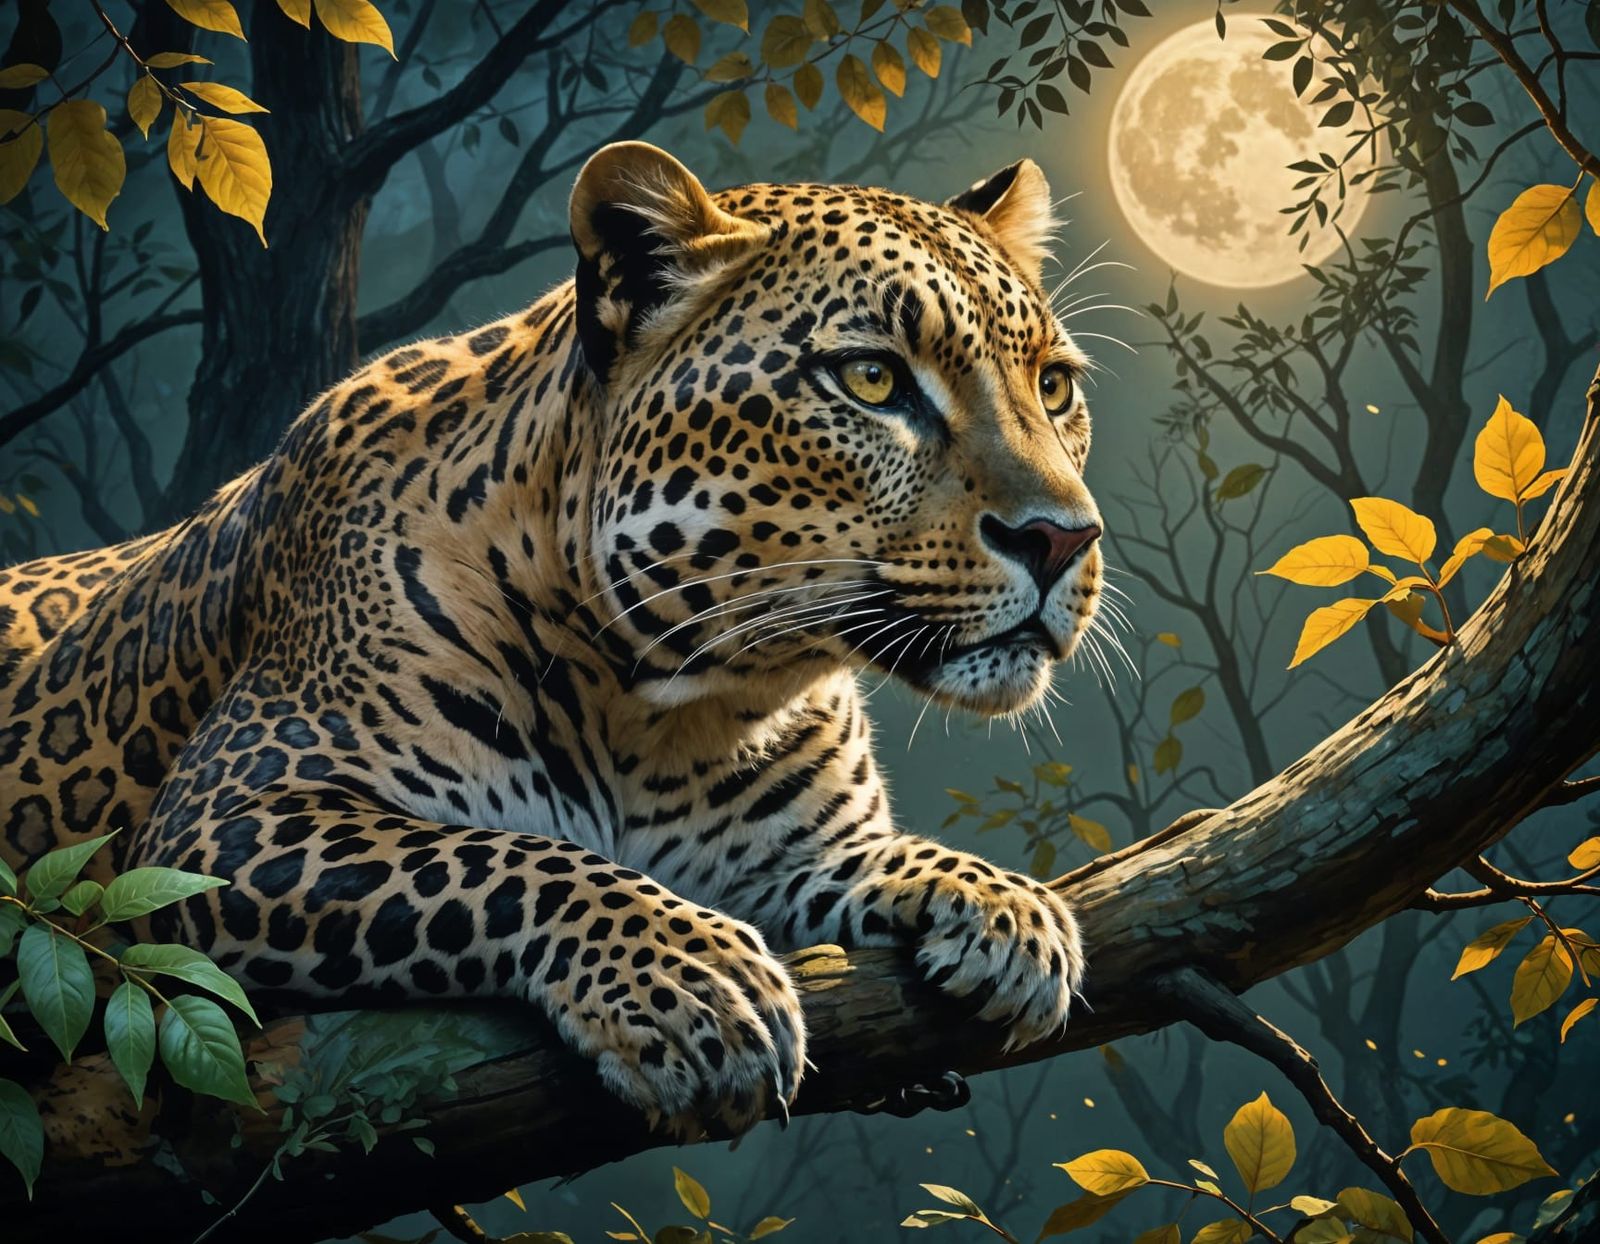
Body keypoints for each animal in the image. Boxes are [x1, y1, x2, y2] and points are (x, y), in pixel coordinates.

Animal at [0, 142, 1104, 1132]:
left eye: (1053, 386)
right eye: (872, 379)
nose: (1063, 537)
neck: (679, 700)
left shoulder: (785, 852)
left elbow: (865, 857)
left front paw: (1001, 905)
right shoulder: (225, 818)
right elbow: (496, 858)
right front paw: (685, 981)